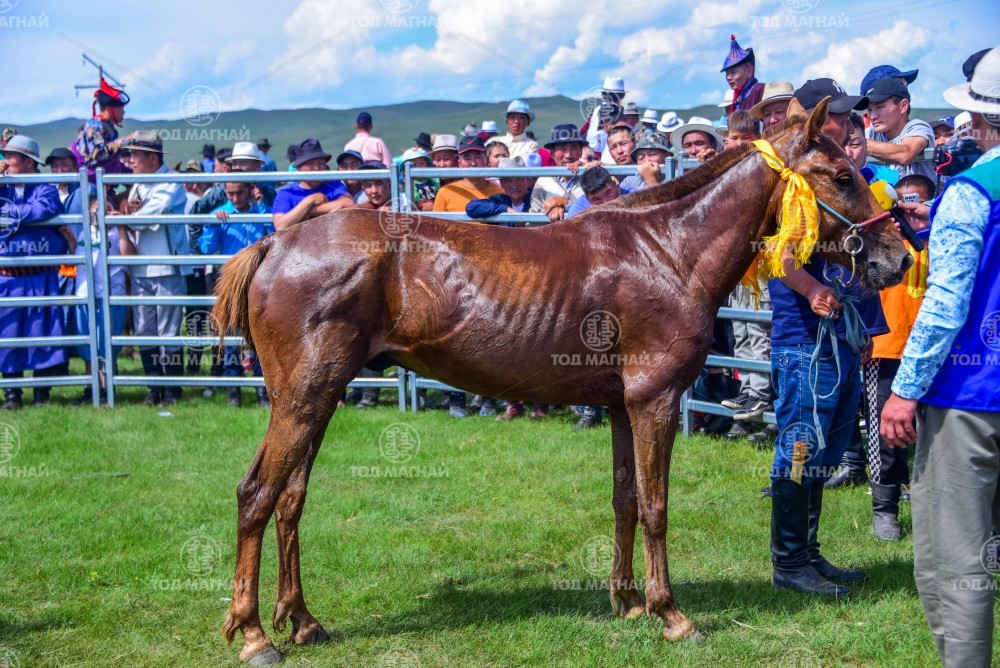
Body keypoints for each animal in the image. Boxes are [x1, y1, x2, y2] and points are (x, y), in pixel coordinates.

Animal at [214, 98, 913, 664]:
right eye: (843, 176)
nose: (899, 258)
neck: (666, 251)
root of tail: (276, 245)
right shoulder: (657, 402)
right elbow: (656, 505)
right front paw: (672, 615)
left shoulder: (624, 407)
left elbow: (626, 499)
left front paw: (628, 602)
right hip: (304, 398)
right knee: (256, 494)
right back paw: (253, 635)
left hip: (317, 398)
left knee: (291, 498)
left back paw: (302, 621)